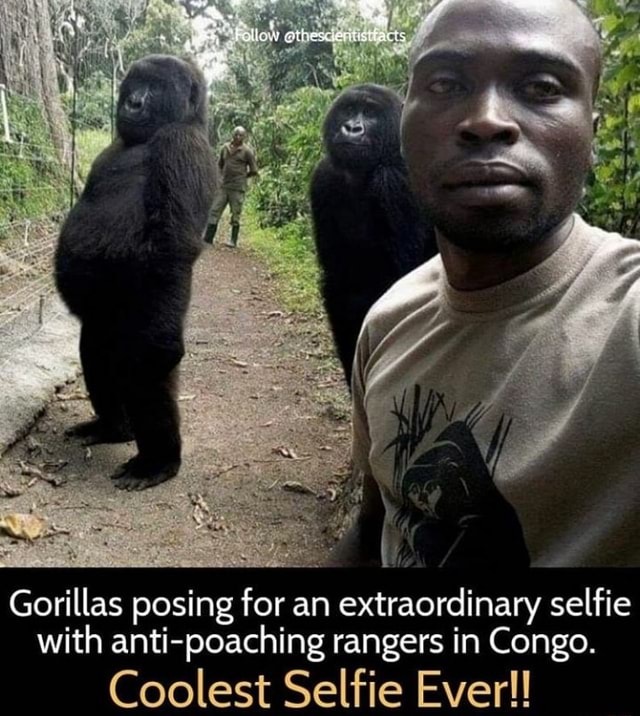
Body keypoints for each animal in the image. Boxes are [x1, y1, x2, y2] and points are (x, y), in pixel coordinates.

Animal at [54, 54, 218, 492]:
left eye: (156, 88)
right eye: (135, 83)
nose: (133, 102)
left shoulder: (181, 146)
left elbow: (172, 248)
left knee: (146, 370)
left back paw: (158, 461)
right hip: (103, 323)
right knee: (95, 351)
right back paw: (113, 427)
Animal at [308, 83, 438, 386]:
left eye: (370, 113)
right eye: (348, 109)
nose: (352, 128)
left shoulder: (395, 181)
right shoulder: (323, 178)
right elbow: (341, 287)